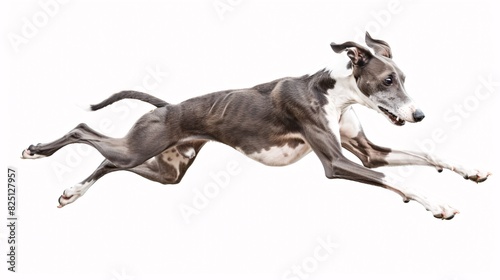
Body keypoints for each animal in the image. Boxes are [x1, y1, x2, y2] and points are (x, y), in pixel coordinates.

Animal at [22, 32, 488, 219]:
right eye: (388, 80)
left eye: (404, 77)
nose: (419, 115)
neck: (335, 94)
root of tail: (169, 107)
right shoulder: (336, 163)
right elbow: (399, 180)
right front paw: (437, 204)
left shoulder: (368, 152)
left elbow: (426, 154)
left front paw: (471, 170)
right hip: (142, 146)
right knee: (84, 129)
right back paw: (37, 151)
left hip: (165, 167)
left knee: (109, 162)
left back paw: (71, 192)